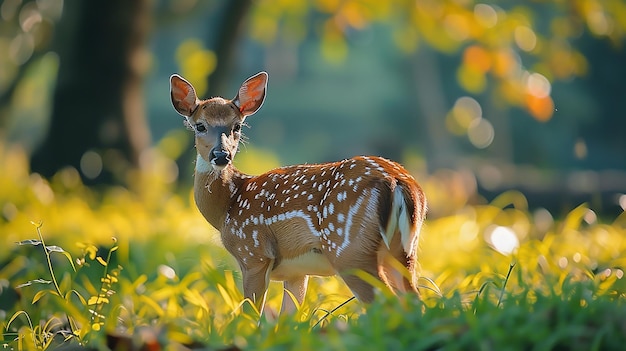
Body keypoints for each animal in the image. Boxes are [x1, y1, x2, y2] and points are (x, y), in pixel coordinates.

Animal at [168, 71, 426, 316]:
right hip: (403, 250)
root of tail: (396, 181)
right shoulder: (296, 273)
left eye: (237, 126)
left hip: (349, 249)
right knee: (416, 301)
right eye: (200, 125)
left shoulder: (253, 253)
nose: (221, 155)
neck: (227, 206)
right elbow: (289, 320)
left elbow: (251, 316)